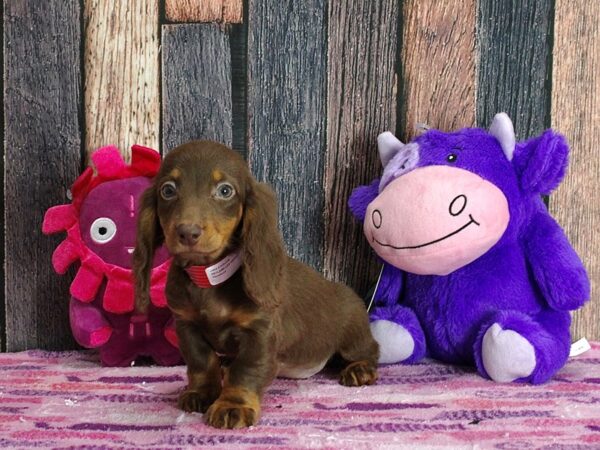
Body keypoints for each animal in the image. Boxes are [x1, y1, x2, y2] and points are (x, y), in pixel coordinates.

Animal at [134, 141, 378, 428]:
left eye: (225, 190)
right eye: (168, 190)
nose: (188, 233)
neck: (208, 277)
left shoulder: (259, 332)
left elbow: (246, 370)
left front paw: (232, 405)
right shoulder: (186, 325)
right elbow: (201, 362)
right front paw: (201, 393)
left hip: (353, 331)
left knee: (369, 350)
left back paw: (360, 369)